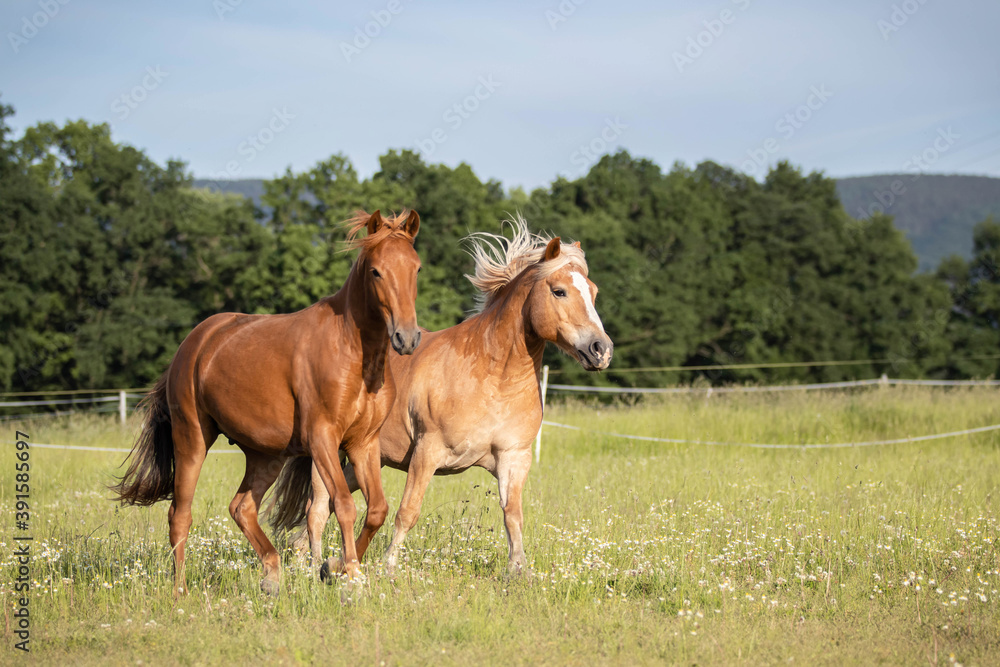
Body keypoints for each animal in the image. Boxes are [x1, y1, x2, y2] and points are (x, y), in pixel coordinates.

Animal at [113, 209, 422, 596]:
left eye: (416, 268)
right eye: (376, 271)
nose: (407, 338)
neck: (353, 353)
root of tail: (193, 344)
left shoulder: (363, 443)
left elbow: (377, 508)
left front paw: (334, 567)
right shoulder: (322, 439)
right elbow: (344, 504)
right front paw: (350, 575)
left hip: (266, 455)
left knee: (242, 507)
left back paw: (272, 577)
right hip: (192, 440)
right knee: (179, 514)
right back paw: (179, 590)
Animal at [272, 217, 608, 576]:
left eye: (594, 292)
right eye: (559, 291)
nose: (601, 349)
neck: (491, 380)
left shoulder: (514, 457)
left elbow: (513, 516)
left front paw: (519, 571)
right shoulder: (426, 452)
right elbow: (408, 511)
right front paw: (389, 567)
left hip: (364, 459)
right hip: (329, 451)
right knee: (318, 509)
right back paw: (313, 566)